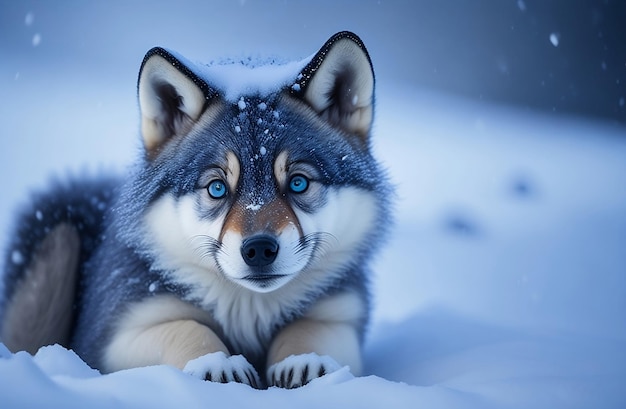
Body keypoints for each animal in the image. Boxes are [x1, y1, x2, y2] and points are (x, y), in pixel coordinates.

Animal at [0, 30, 390, 388]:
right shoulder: (110, 335)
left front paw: (303, 359)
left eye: (298, 183)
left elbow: (310, 328)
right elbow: (184, 327)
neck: (249, 309)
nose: (259, 249)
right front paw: (217, 362)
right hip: (60, 236)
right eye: (216, 188)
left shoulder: (342, 314)